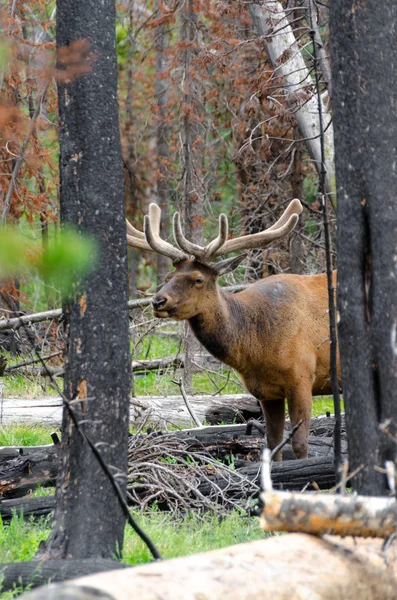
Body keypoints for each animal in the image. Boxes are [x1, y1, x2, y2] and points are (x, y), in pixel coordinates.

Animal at [127, 202, 340, 460]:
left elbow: (299, 444)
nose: (158, 301)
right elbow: (272, 444)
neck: (257, 347)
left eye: (198, 279)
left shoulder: (302, 377)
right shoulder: (266, 392)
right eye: (169, 276)